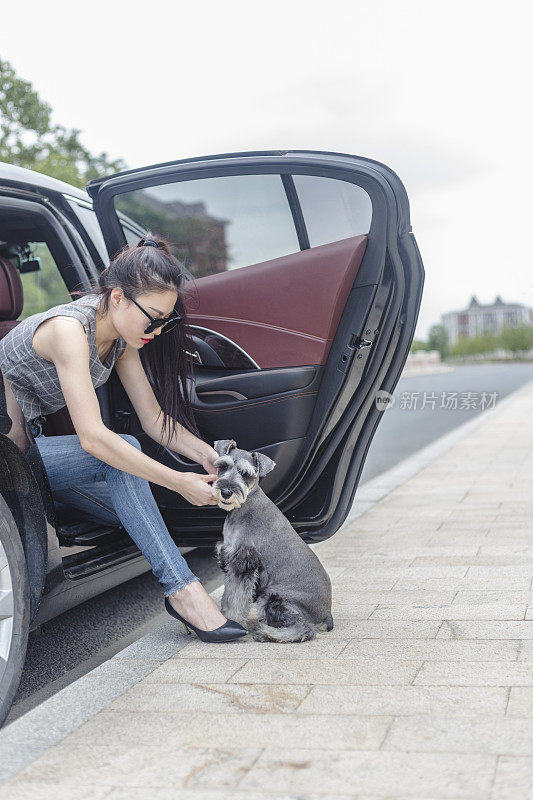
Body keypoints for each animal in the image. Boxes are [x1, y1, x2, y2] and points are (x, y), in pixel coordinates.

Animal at [211, 440, 332, 640]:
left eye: (246, 474)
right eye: (223, 466)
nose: (226, 492)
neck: (246, 503)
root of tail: (326, 615)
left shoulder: (244, 563)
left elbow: (236, 598)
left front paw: (233, 620)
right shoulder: (231, 560)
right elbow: (229, 595)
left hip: (275, 596)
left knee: (304, 628)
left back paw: (265, 633)